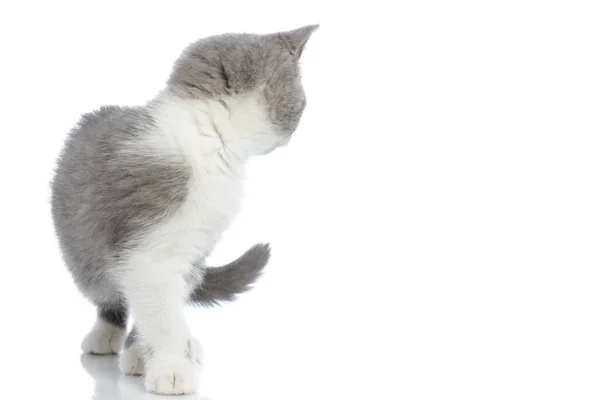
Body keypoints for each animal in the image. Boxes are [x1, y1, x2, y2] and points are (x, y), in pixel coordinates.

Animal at [50, 25, 318, 396]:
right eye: (302, 101)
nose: (294, 130)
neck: (206, 136)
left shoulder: (193, 249)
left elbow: (163, 309)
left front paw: (158, 353)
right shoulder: (147, 251)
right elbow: (161, 315)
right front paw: (172, 368)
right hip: (81, 253)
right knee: (109, 297)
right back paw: (107, 335)